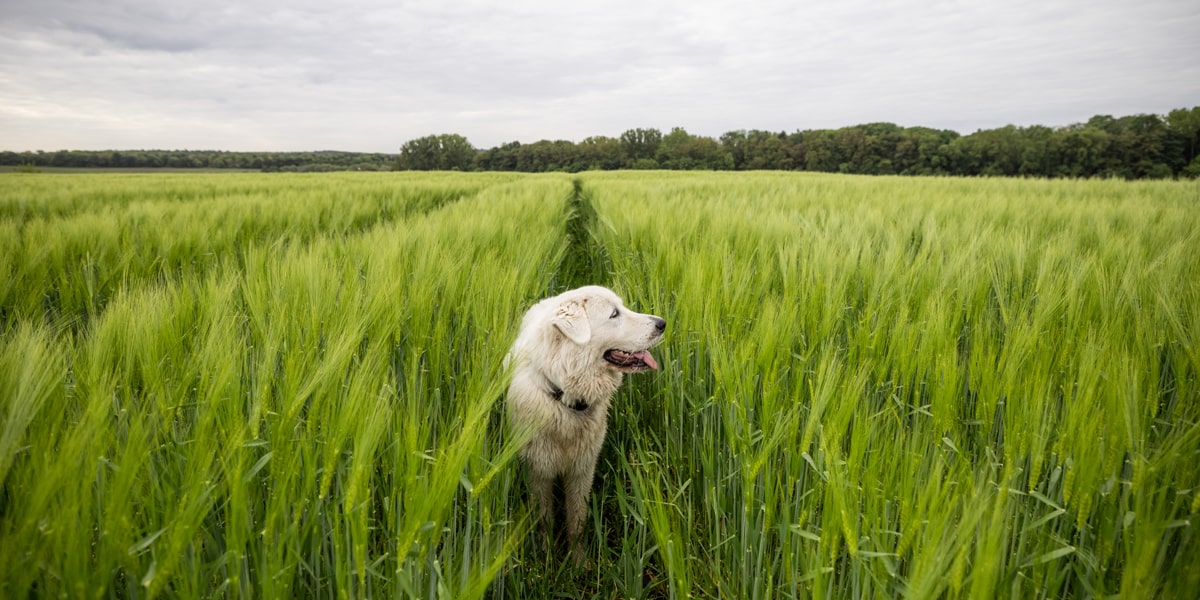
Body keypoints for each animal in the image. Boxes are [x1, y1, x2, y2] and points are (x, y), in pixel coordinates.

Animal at [504, 284, 667, 556]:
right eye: (614, 314)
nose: (662, 323)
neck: (563, 397)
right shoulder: (538, 471)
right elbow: (544, 519)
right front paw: (546, 556)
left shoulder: (582, 471)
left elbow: (577, 521)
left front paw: (579, 560)